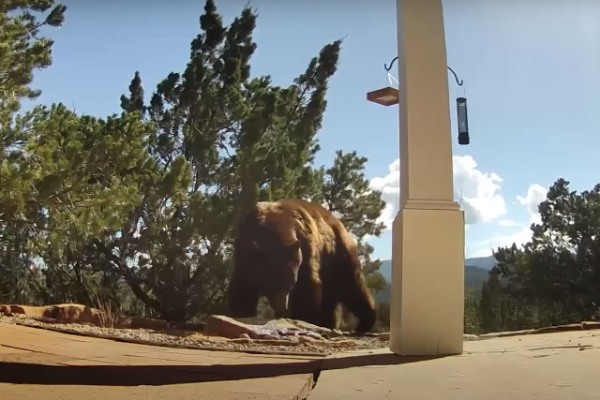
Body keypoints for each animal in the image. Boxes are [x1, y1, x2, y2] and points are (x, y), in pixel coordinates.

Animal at [229, 198, 376, 332]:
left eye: (289, 284)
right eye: (269, 285)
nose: (283, 308)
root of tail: (337, 221)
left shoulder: (306, 252)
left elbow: (307, 288)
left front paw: (304, 318)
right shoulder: (243, 256)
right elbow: (242, 288)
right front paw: (240, 313)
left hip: (337, 252)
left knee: (351, 284)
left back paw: (365, 322)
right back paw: (329, 322)